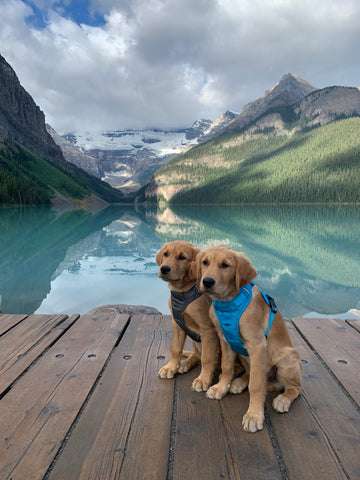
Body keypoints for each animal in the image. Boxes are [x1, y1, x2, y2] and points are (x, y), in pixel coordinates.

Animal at [155, 242, 219, 392]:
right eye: (166, 254)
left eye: (182, 257)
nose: (164, 268)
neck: (182, 292)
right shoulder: (177, 324)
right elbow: (176, 348)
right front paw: (171, 367)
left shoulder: (208, 330)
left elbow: (207, 358)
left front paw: (203, 380)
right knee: (196, 355)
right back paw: (185, 363)